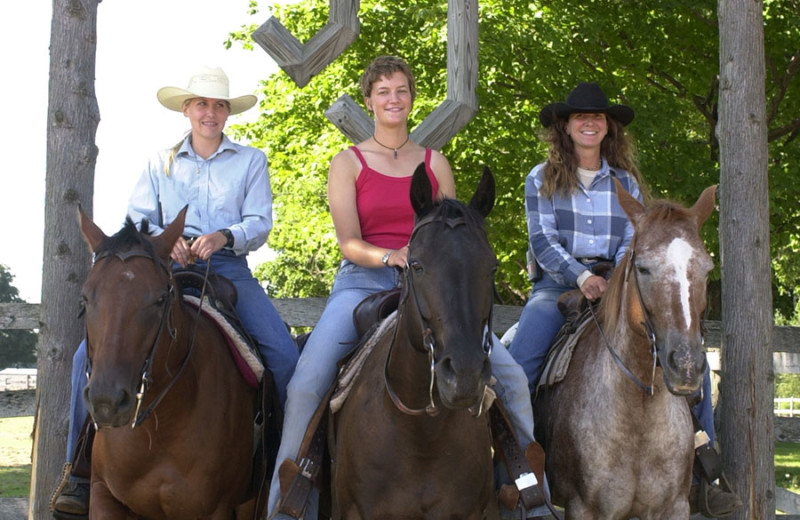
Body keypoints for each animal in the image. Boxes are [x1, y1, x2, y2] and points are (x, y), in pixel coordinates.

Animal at [75, 207, 264, 520]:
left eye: (160, 299)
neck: (158, 429)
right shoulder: (104, 496)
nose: (107, 402)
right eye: (86, 297)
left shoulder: (215, 511)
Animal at [536, 180, 716, 520]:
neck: (640, 414)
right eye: (643, 268)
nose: (685, 365)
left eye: (707, 269)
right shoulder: (583, 508)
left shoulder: (675, 506)